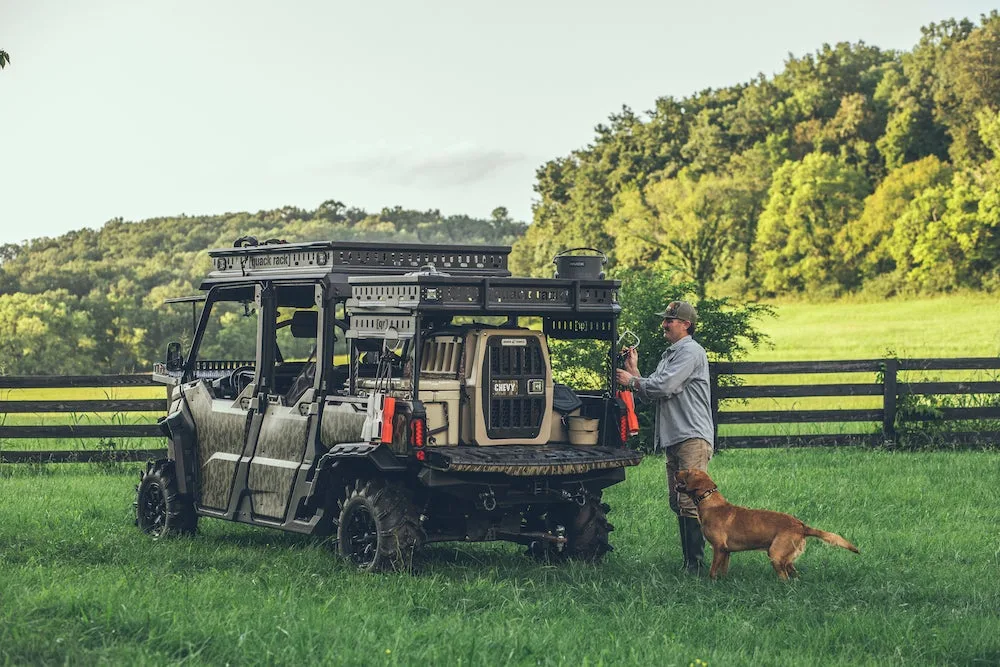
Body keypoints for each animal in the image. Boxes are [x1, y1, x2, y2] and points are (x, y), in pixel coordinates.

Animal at [676, 470, 864, 580]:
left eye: (687, 472)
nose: (677, 469)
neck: (710, 502)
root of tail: (801, 526)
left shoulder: (719, 548)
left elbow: (712, 571)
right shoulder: (726, 551)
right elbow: (723, 570)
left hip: (775, 554)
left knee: (785, 578)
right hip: (785, 558)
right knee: (794, 575)